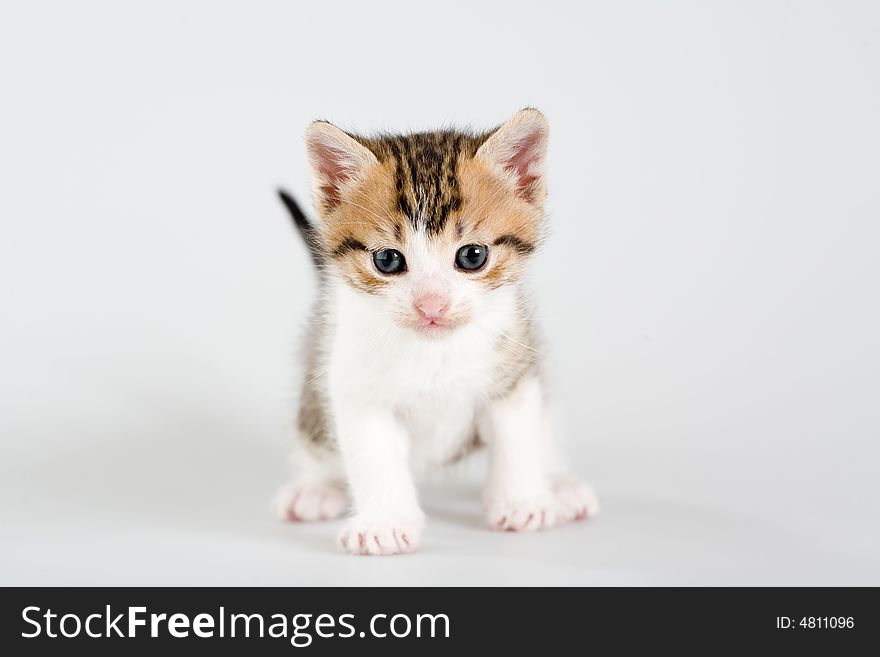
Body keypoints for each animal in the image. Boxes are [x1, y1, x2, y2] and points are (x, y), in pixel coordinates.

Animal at [272, 109, 600, 552]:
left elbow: (517, 438)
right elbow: (373, 457)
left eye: (473, 256)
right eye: (388, 260)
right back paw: (316, 489)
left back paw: (561, 486)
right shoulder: (356, 387)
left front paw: (522, 502)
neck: (435, 350)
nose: (431, 305)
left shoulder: (514, 371)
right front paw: (384, 522)